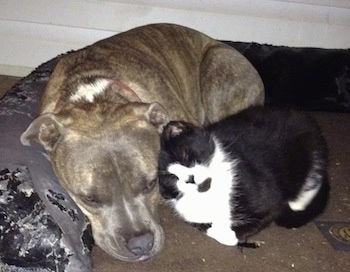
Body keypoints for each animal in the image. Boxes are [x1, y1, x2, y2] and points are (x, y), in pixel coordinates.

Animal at [159, 105, 328, 248]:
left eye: (185, 155)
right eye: (173, 178)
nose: (190, 178)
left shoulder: (271, 202)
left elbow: (263, 216)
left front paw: (231, 234)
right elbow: (205, 226)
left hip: (309, 150)